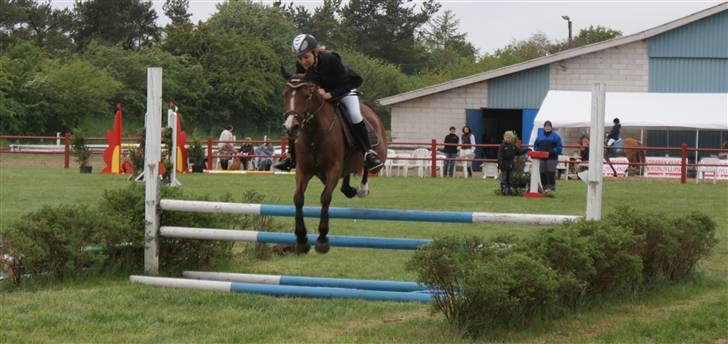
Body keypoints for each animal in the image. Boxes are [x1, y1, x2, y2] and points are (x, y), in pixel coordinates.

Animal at [282, 72, 390, 254]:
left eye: (306, 96)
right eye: (284, 95)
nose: (291, 127)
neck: (313, 134)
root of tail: (371, 112)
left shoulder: (333, 169)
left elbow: (325, 197)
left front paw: (322, 240)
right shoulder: (303, 171)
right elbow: (298, 198)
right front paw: (302, 239)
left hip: (379, 155)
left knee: (367, 165)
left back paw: (362, 188)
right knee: (348, 176)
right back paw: (349, 190)